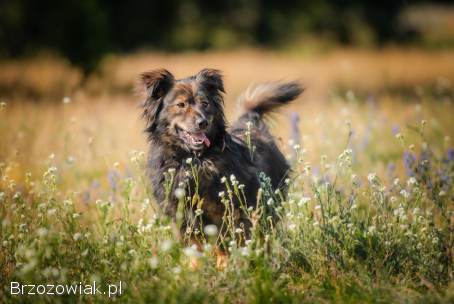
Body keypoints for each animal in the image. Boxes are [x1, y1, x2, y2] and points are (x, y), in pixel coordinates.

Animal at [138, 69, 302, 245]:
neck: (194, 161)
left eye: (205, 103)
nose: (203, 122)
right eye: (181, 105)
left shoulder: (229, 215)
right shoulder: (183, 218)